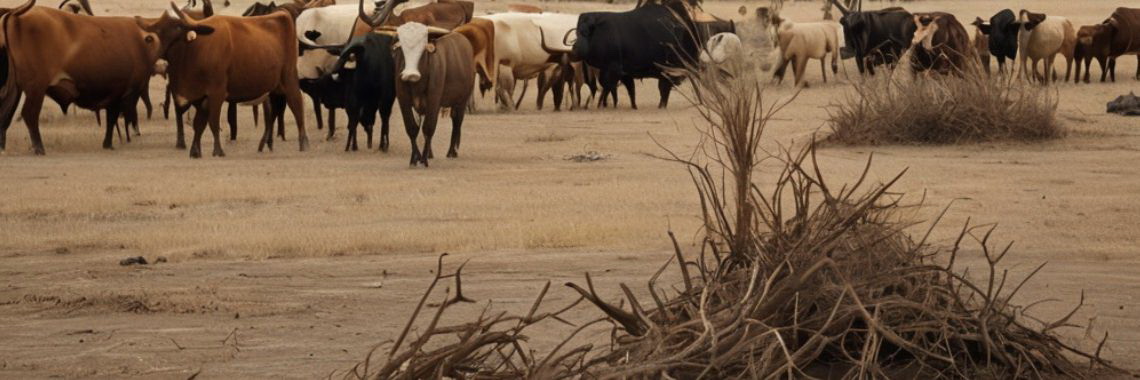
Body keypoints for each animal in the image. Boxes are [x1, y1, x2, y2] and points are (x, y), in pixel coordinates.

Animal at [0, 0, 161, 154]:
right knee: (29, 114)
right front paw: (108, 143)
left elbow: (111, 118)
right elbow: (112, 117)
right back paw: (39, 148)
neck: (141, 43)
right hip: (36, 88)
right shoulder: (122, 93)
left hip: (15, 88)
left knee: (5, 114)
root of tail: (15, 15)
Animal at [135, 2, 310, 156]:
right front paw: (195, 151)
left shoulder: (217, 92)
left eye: (177, 29)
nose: (158, 56)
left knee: (296, 106)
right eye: (158, 30)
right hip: (272, 88)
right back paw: (265, 145)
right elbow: (199, 124)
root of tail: (281, 14)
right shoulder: (201, 97)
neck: (194, 50)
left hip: (289, 78)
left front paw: (218, 150)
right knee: (273, 113)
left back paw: (303, 143)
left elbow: (213, 123)